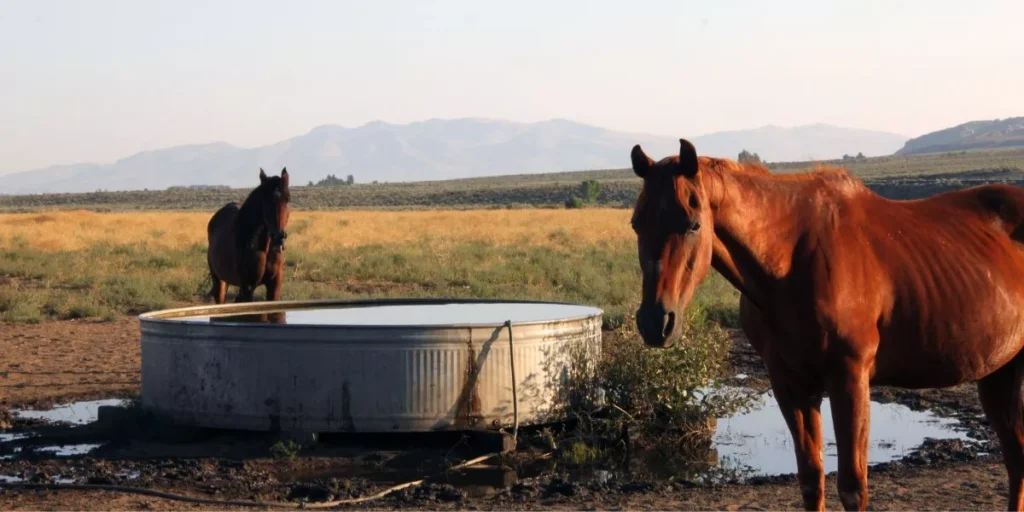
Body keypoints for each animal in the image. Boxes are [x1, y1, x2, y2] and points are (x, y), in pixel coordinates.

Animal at [207, 168, 291, 304]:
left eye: (287, 199)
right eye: (265, 201)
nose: (279, 239)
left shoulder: (274, 286)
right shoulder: (248, 287)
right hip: (219, 281)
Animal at [629, 139, 1024, 511]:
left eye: (694, 224)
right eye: (636, 223)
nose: (655, 321)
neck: (791, 260)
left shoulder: (850, 378)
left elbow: (852, 487)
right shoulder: (789, 383)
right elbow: (811, 479)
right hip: (999, 371)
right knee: (1015, 455)